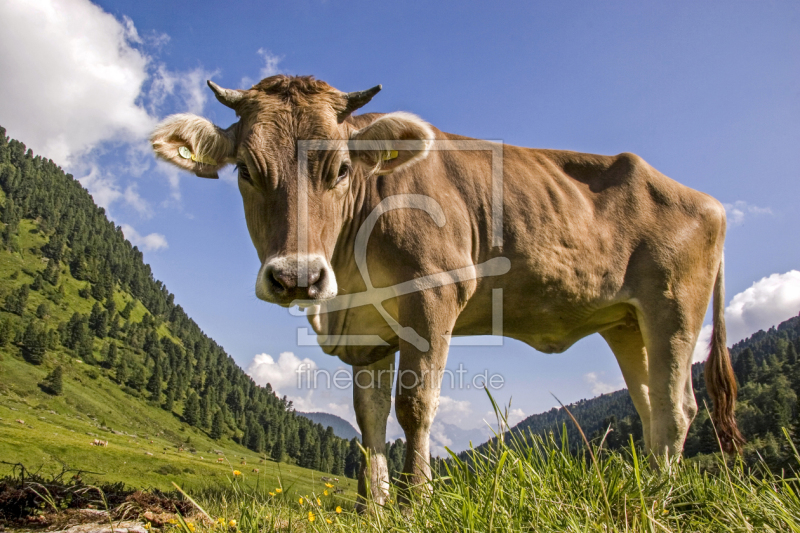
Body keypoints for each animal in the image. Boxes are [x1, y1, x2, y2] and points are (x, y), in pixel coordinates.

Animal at [152, 75, 744, 508]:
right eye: (246, 171)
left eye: (339, 169)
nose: (296, 276)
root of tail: (706, 200)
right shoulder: (367, 333)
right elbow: (369, 418)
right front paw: (374, 509)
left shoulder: (434, 295)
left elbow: (415, 406)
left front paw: (417, 502)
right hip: (626, 322)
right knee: (650, 408)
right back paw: (649, 490)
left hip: (674, 307)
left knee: (677, 406)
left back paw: (661, 499)